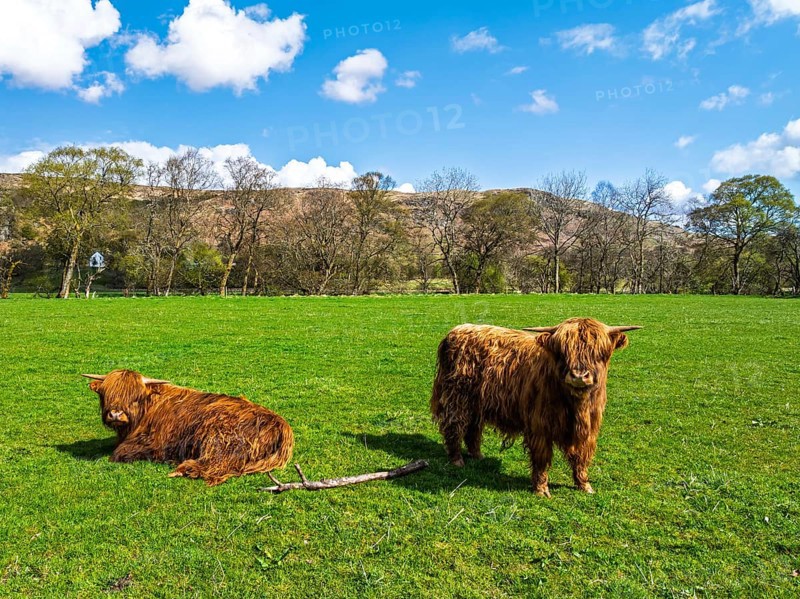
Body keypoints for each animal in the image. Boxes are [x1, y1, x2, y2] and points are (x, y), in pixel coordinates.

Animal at [82, 370, 294, 486]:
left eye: (135, 396)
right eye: (106, 393)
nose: (116, 414)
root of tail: (281, 425)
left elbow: (118, 453)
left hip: (220, 437)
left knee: (218, 464)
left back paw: (185, 469)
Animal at [430, 318, 641, 496]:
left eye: (599, 352)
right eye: (562, 352)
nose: (579, 376)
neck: (576, 406)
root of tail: (457, 331)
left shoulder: (589, 428)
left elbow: (581, 457)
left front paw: (584, 485)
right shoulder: (540, 425)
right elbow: (541, 458)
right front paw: (541, 489)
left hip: (476, 404)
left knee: (473, 429)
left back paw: (478, 456)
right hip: (458, 399)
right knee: (455, 426)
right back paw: (457, 459)